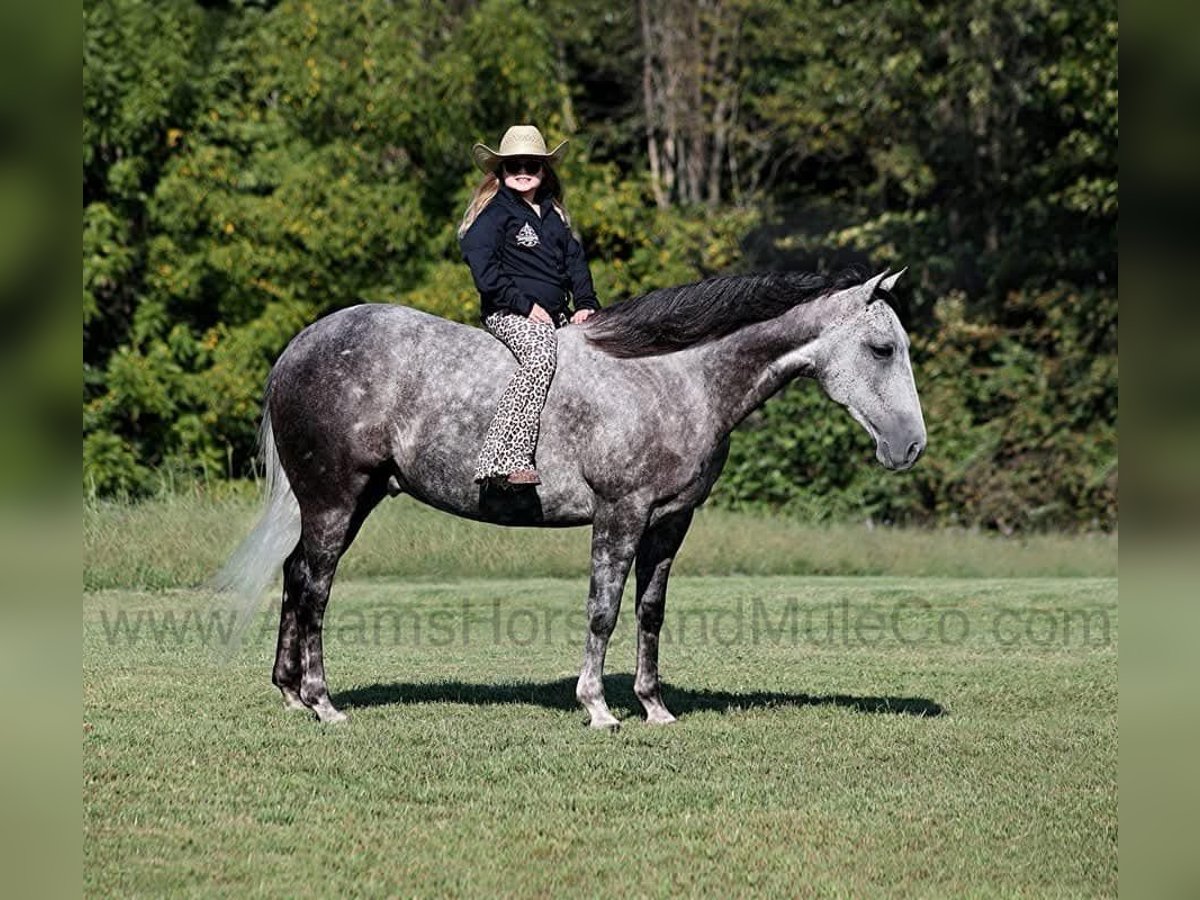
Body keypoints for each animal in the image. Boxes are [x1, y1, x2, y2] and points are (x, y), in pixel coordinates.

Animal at [218, 264, 926, 729]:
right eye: (881, 348)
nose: (912, 446)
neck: (671, 377)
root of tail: (297, 349)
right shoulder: (620, 515)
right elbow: (602, 611)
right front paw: (598, 708)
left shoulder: (670, 522)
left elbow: (649, 613)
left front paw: (654, 707)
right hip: (335, 501)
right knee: (314, 586)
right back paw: (322, 701)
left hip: (351, 500)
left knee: (295, 576)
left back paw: (290, 694)